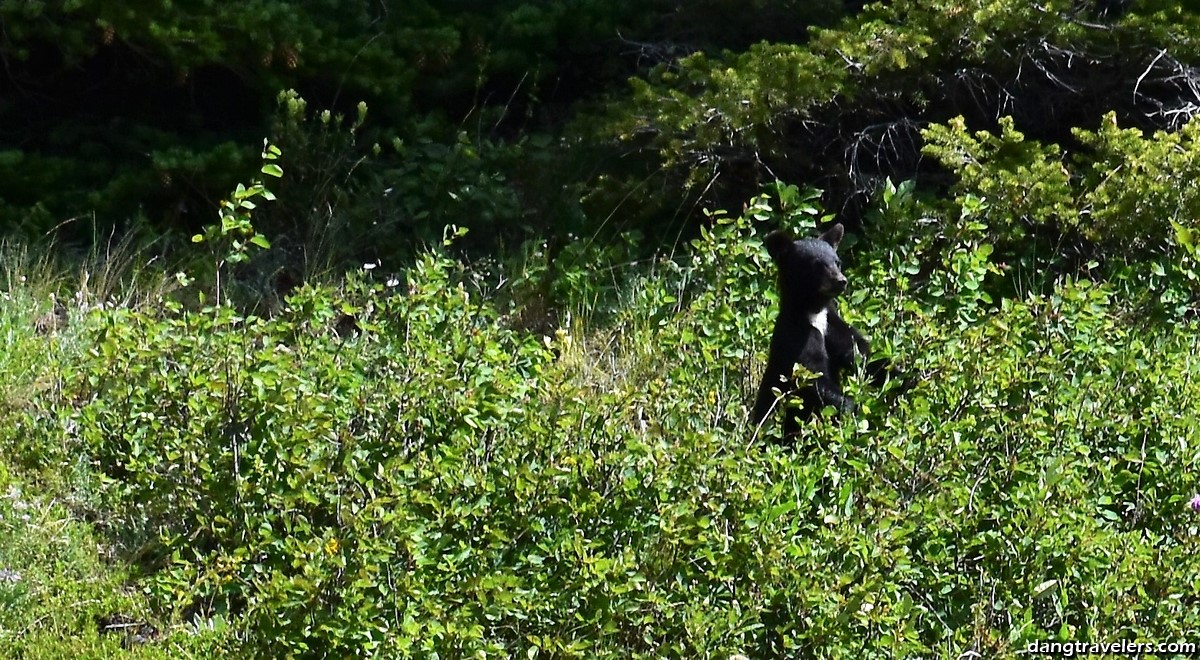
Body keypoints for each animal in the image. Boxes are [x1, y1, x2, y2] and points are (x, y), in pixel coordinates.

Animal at [748, 225, 873, 441]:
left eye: (837, 262)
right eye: (817, 265)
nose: (841, 281)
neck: (814, 313)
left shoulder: (832, 326)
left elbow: (861, 353)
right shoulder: (796, 337)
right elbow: (811, 376)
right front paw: (850, 408)